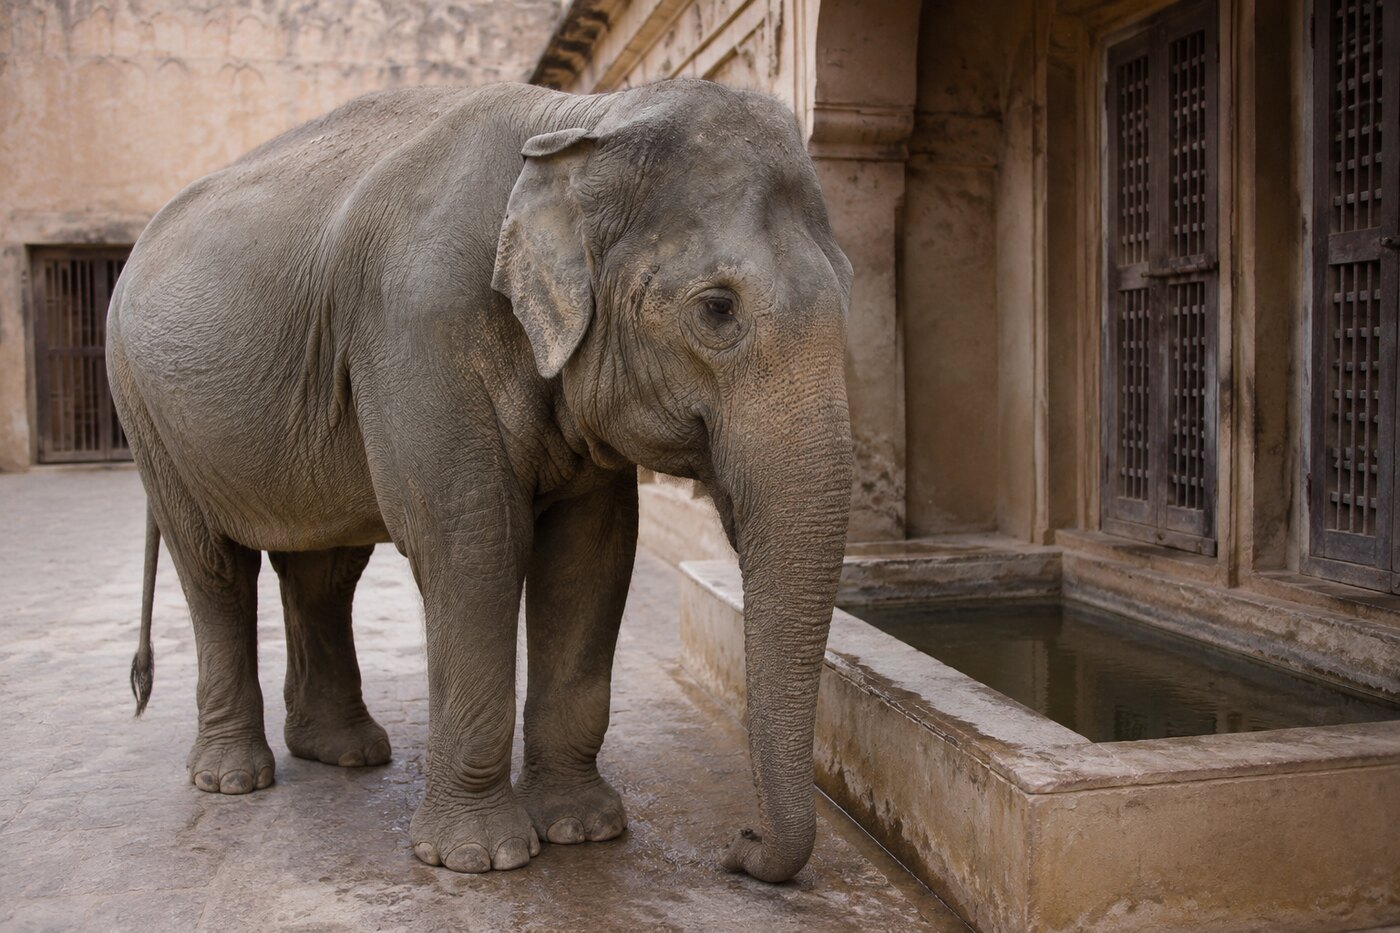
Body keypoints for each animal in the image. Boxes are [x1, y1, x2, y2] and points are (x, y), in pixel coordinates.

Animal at [107, 77, 853, 883]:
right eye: (717, 308)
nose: (738, 847)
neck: (583, 119)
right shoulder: (417, 327)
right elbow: (475, 543)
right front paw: (479, 859)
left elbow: (591, 556)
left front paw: (583, 829)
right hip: (145, 410)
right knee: (213, 567)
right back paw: (233, 778)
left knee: (323, 571)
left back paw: (345, 752)